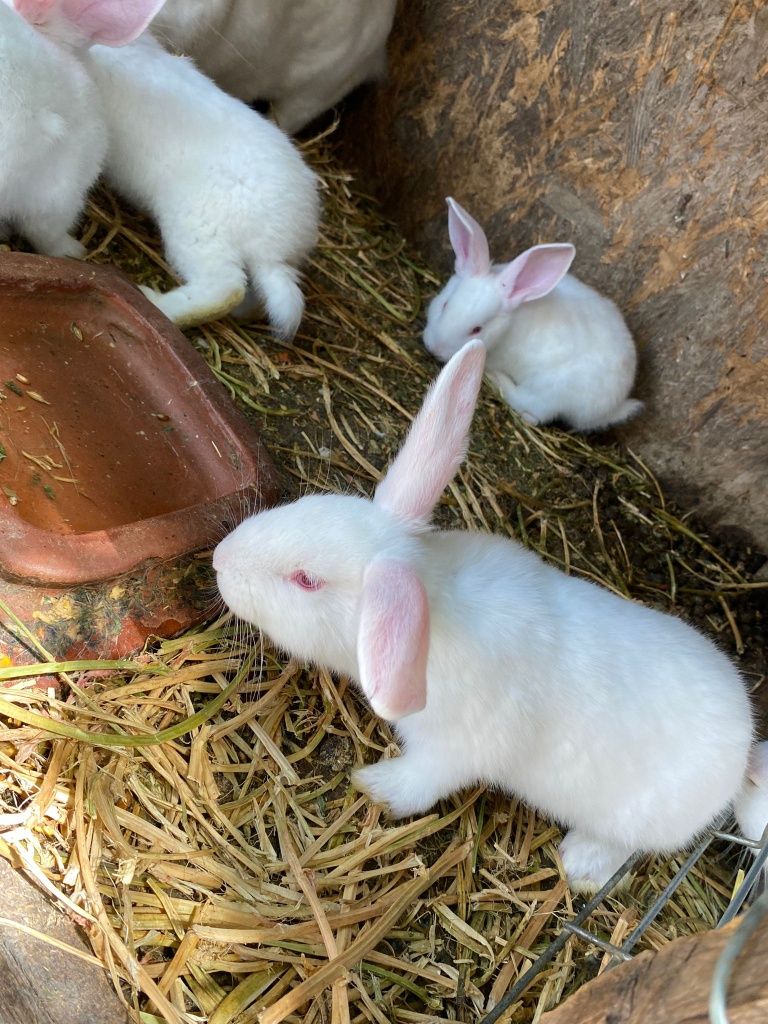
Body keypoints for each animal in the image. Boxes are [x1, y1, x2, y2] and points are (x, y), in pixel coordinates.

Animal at [214, 339, 765, 892]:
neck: (432, 604)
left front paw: (374, 786)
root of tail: (742, 747)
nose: (220, 558)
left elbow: (421, 783)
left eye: (306, 580)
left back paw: (580, 864)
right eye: (307, 502)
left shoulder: (454, 748)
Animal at [423, 196, 647, 432]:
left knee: (530, 414)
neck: (507, 328)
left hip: (548, 391)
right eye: (445, 305)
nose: (434, 348)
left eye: (477, 329)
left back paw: (497, 379)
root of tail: (613, 406)